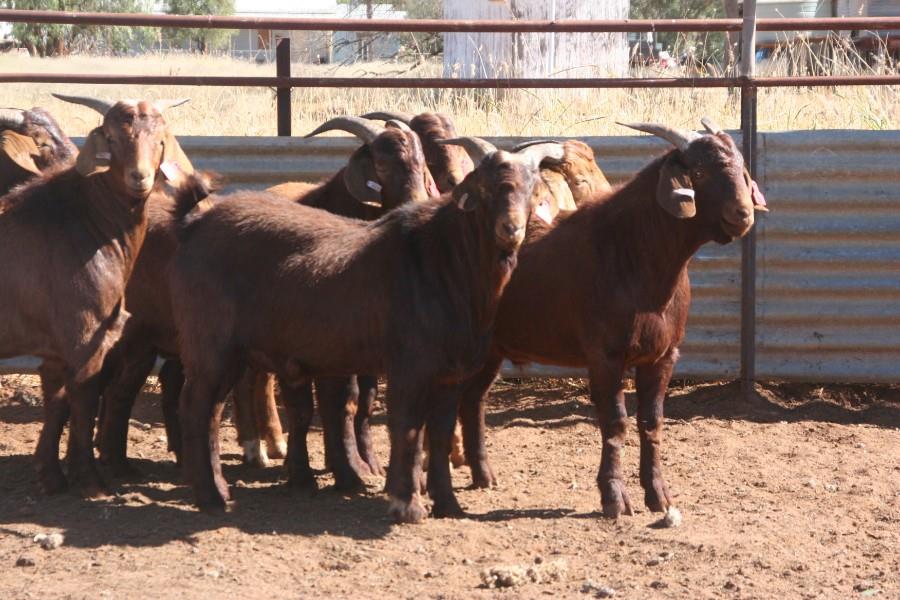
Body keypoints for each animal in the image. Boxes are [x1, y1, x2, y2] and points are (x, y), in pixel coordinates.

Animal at [0, 94, 191, 496]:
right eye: (112, 138)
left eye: (159, 139)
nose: (139, 177)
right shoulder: (85, 337)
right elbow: (84, 400)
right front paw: (90, 479)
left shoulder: (58, 348)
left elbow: (57, 401)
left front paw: (52, 475)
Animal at [169, 139, 564, 522]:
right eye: (485, 188)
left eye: (533, 188)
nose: (510, 229)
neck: (443, 262)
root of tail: (192, 226)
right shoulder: (409, 366)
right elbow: (407, 428)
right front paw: (407, 506)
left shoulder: (451, 374)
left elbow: (439, 433)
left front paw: (448, 504)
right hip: (211, 345)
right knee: (196, 407)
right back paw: (210, 497)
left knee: (212, 411)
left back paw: (220, 490)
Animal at [449, 119, 768, 519]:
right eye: (698, 172)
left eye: (741, 166)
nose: (742, 215)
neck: (635, 256)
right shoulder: (605, 356)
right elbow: (615, 423)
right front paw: (614, 497)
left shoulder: (663, 356)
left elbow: (652, 423)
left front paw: (658, 495)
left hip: (491, 350)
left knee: (473, 400)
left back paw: (483, 475)